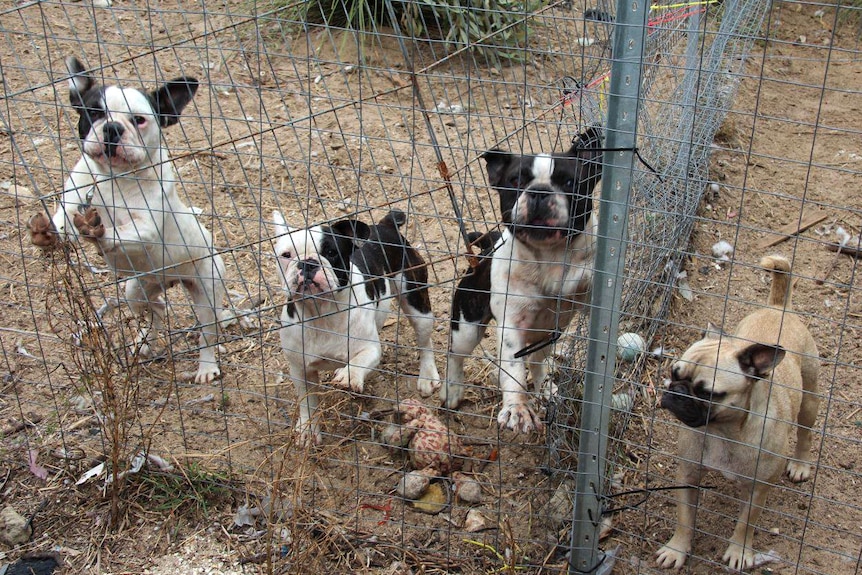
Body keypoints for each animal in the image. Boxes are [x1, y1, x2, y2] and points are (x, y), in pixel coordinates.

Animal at [29, 56, 228, 384]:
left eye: (139, 120)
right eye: (94, 112)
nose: (112, 127)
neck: (115, 178)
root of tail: (169, 280)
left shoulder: (146, 227)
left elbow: (121, 230)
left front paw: (97, 230)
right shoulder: (74, 196)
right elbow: (63, 220)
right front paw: (46, 232)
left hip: (206, 293)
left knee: (207, 333)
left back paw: (206, 367)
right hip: (136, 290)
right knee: (156, 308)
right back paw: (144, 341)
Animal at [276, 210, 442, 446]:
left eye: (331, 252)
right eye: (286, 255)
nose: (307, 263)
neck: (321, 313)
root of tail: (385, 224)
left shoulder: (370, 349)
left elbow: (359, 360)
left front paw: (349, 375)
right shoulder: (300, 368)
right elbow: (307, 401)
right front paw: (308, 429)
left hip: (416, 300)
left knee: (424, 341)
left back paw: (427, 376)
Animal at [442, 126, 604, 432]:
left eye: (569, 181)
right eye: (515, 180)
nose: (539, 192)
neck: (550, 255)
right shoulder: (512, 324)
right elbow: (513, 369)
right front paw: (517, 409)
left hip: (547, 333)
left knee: (539, 361)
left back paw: (546, 390)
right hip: (467, 325)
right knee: (456, 355)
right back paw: (453, 390)